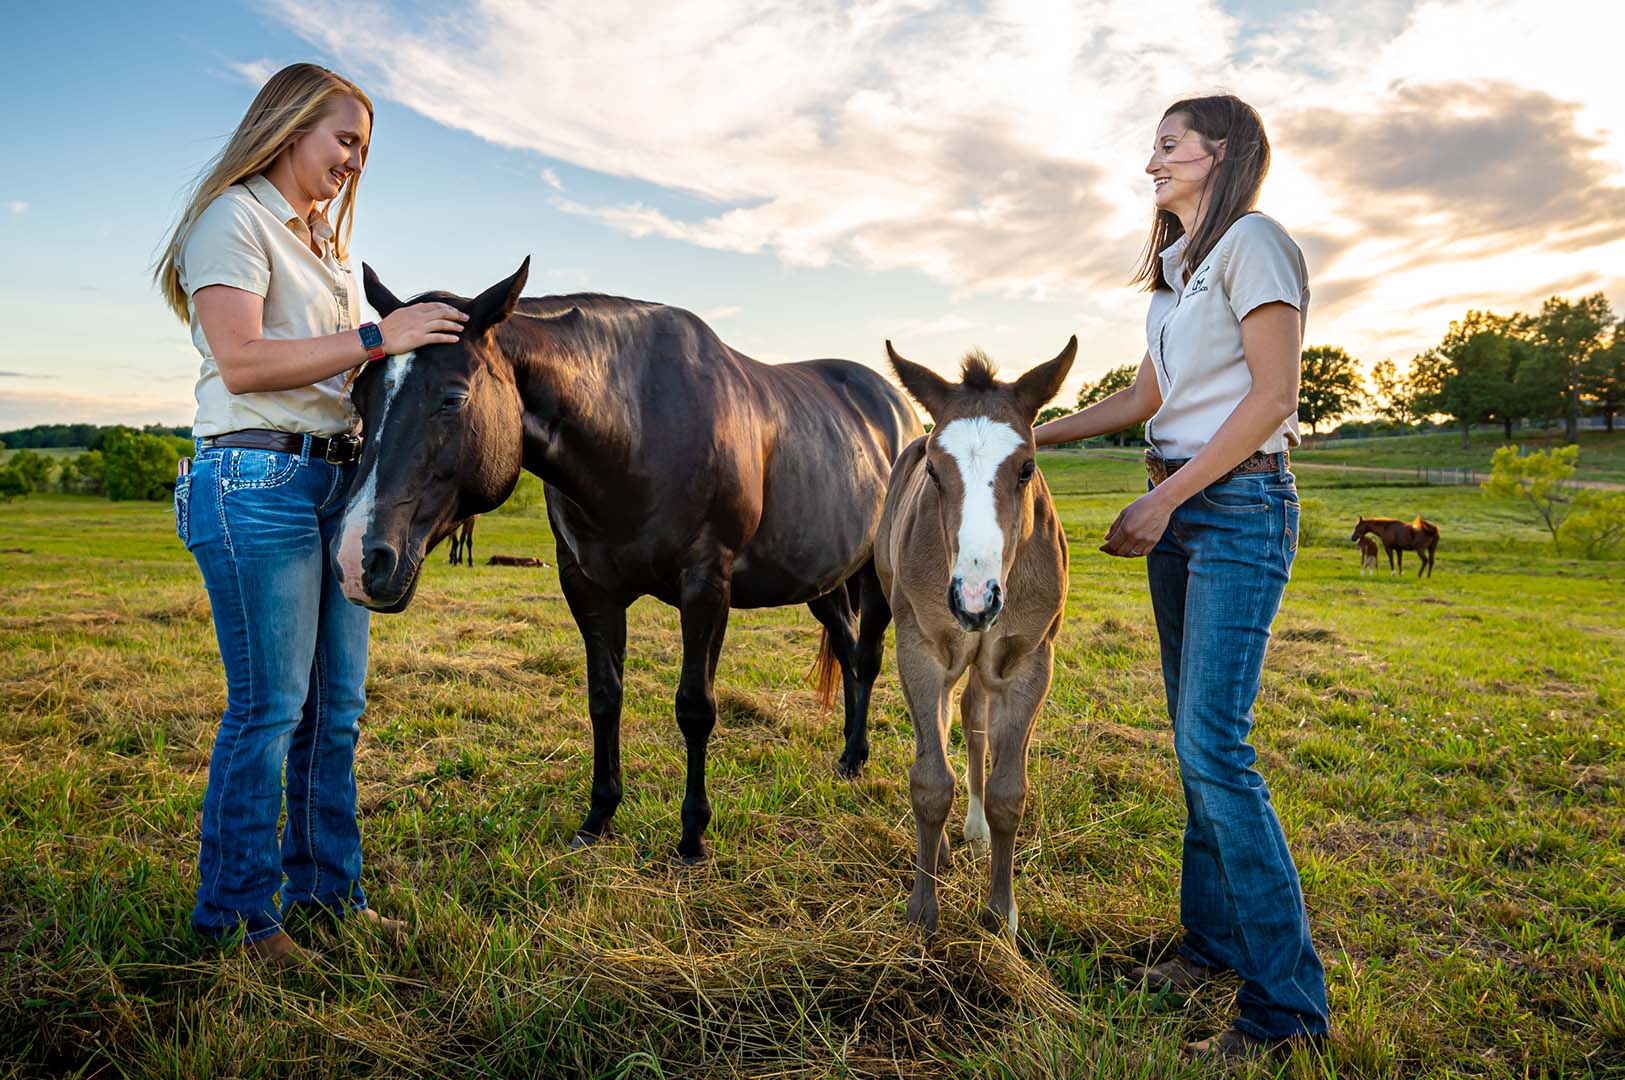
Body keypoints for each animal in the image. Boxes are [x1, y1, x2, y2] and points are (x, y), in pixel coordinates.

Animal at [331, 259, 923, 857]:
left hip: (875, 578)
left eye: (453, 397)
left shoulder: (706, 585)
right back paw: (848, 754)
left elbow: (695, 706)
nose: (357, 560)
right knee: (847, 649)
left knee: (868, 656)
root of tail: (899, 409)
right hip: (822, 580)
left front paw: (692, 835)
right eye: (361, 398)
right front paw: (599, 817)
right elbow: (604, 697)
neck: (637, 425)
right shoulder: (589, 587)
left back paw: (857, 756)